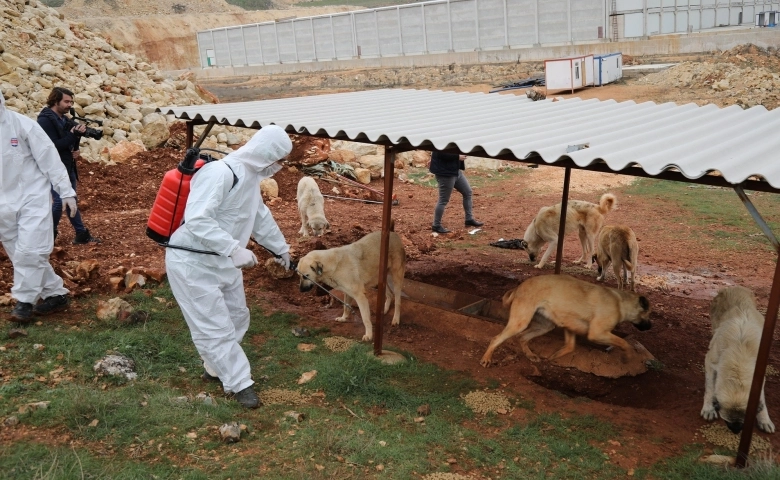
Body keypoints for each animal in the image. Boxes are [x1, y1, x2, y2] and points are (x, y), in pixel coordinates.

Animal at [478, 274, 648, 368]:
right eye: (649, 314)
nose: (650, 327)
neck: (621, 302)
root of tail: (518, 287)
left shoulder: (570, 326)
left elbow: (570, 347)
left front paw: (554, 356)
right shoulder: (597, 334)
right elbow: (624, 342)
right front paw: (627, 357)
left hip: (545, 326)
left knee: (522, 337)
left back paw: (530, 355)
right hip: (520, 322)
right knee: (496, 338)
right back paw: (486, 359)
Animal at [700, 284, 772, 436]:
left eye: (744, 423)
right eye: (727, 421)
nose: (736, 431)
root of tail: (736, 287)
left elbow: (761, 398)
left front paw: (764, 419)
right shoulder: (710, 362)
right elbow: (710, 387)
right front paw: (708, 408)